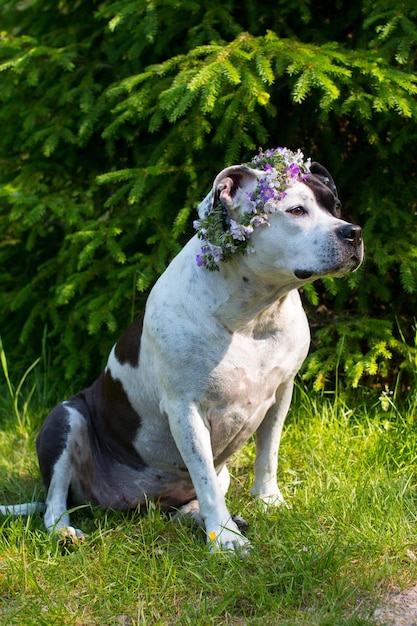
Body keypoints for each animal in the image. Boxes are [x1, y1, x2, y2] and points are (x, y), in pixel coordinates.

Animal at [0, 151, 360, 552]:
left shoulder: (282, 392)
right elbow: (204, 478)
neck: (254, 312)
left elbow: (268, 455)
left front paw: (268, 502)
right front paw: (226, 540)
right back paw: (65, 530)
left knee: (187, 504)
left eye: (336, 206)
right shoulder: (186, 409)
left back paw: (204, 518)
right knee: (54, 502)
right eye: (296, 210)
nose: (353, 232)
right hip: (65, 419)